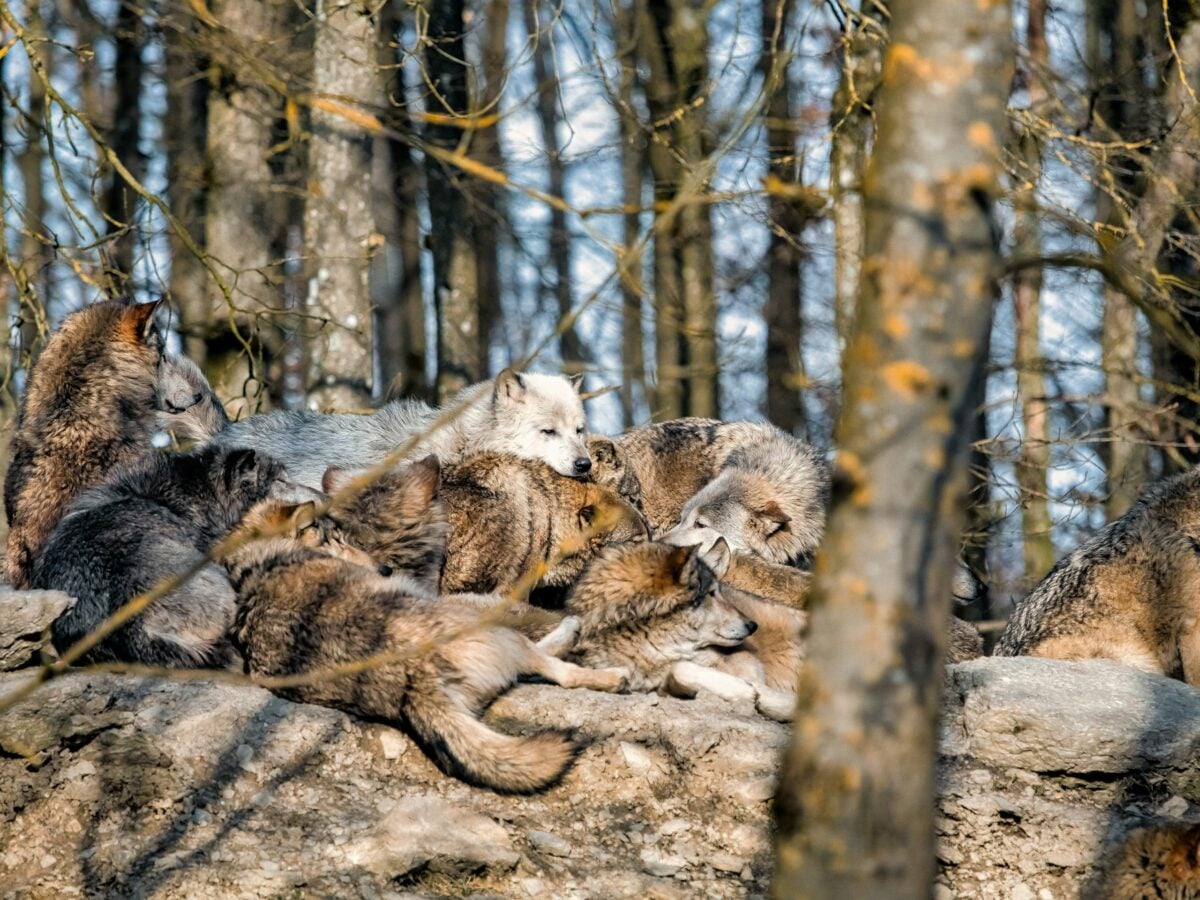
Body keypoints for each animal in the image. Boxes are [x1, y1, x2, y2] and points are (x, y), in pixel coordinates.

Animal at [220, 498, 629, 794]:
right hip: (478, 620)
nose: (385, 570)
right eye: (335, 541)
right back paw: (602, 663)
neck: (264, 560)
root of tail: (416, 682)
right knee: (559, 668)